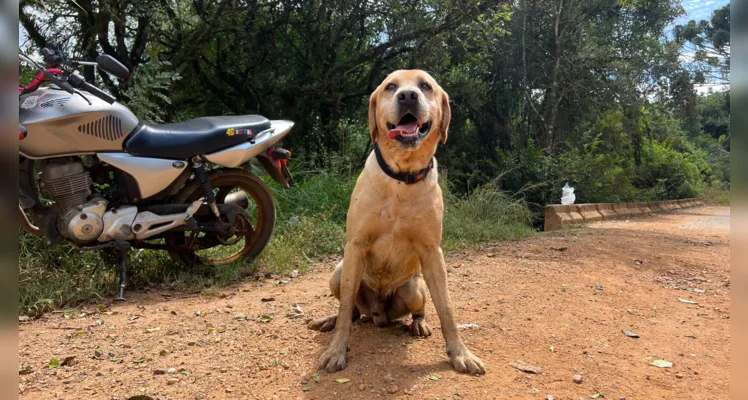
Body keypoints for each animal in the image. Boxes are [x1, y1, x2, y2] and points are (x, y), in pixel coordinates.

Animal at [308, 69, 486, 376]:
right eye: (391, 87)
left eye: (425, 86)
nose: (408, 96)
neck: (402, 177)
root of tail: (378, 314)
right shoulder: (355, 246)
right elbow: (345, 308)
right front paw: (336, 350)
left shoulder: (432, 251)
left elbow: (447, 308)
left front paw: (460, 353)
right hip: (338, 273)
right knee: (351, 311)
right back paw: (331, 320)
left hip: (414, 288)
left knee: (418, 308)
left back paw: (419, 323)